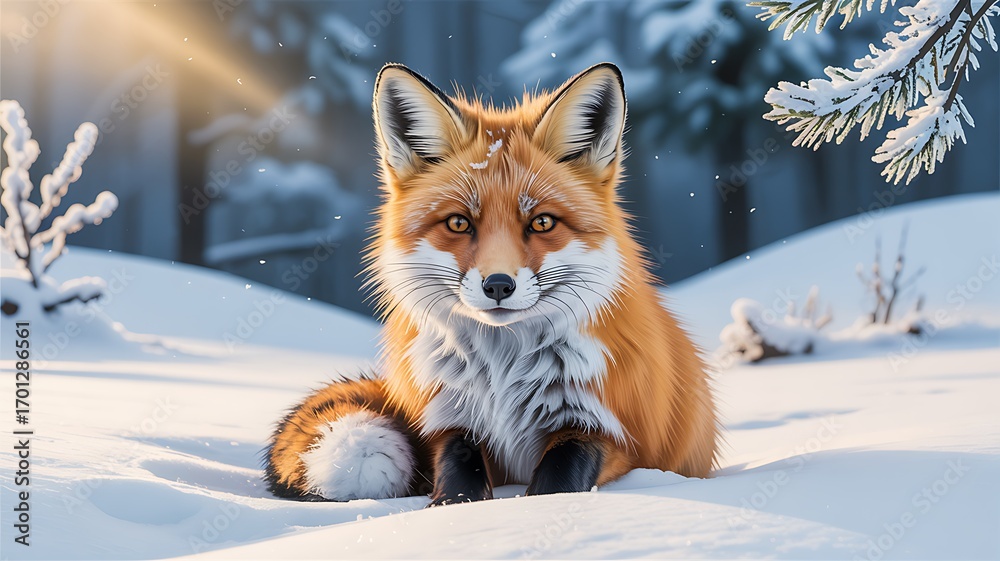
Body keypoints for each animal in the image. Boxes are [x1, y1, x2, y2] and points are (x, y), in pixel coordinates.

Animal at [264, 62, 718, 505]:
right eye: (458, 223)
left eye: (542, 222)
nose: (498, 285)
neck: (503, 375)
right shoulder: (450, 419)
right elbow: (456, 475)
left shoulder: (612, 431)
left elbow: (558, 481)